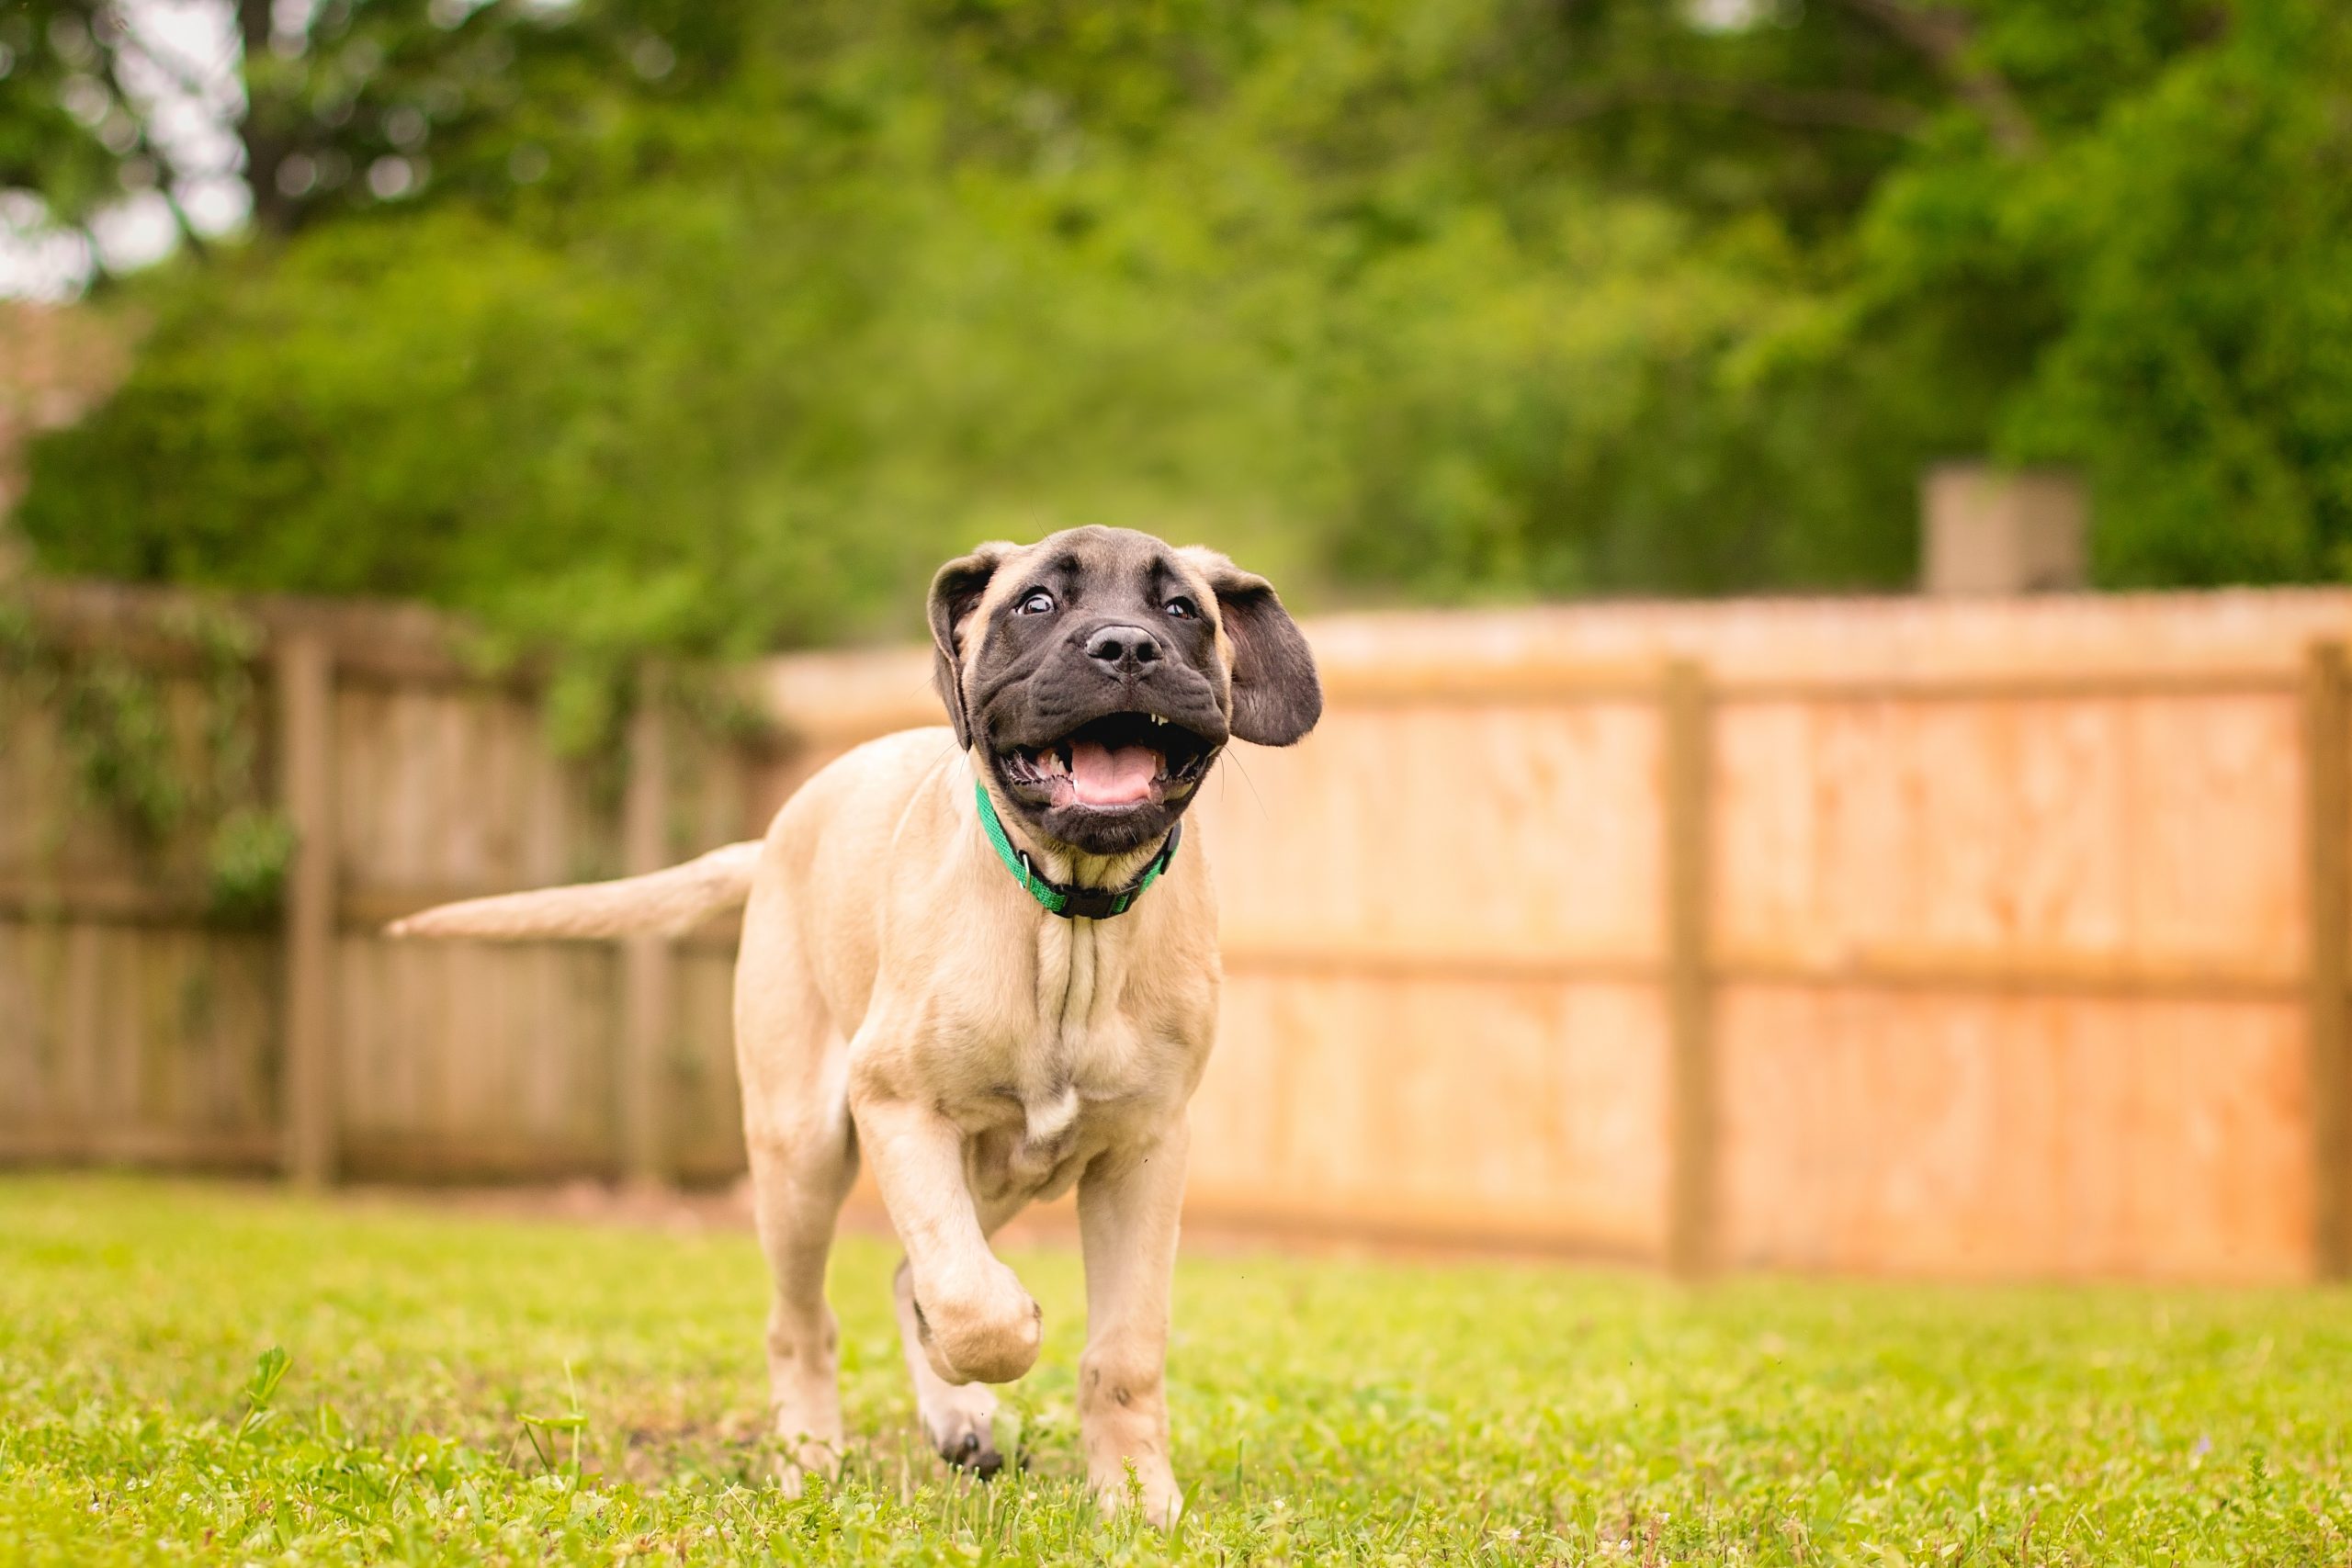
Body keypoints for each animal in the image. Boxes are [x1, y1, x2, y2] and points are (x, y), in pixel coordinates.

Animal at [395, 524, 1336, 1523]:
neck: (1068, 925)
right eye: (1036, 603)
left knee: (905, 1276)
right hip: (802, 1156)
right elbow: (970, 1301)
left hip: (1003, 1166)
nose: (1126, 647)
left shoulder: (1144, 1152)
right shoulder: (898, 1106)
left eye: (1183, 609)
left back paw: (957, 1420)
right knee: (805, 1320)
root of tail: (773, 838)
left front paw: (1135, 1500)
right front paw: (1005, 1344)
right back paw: (813, 1455)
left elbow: (1121, 1351)